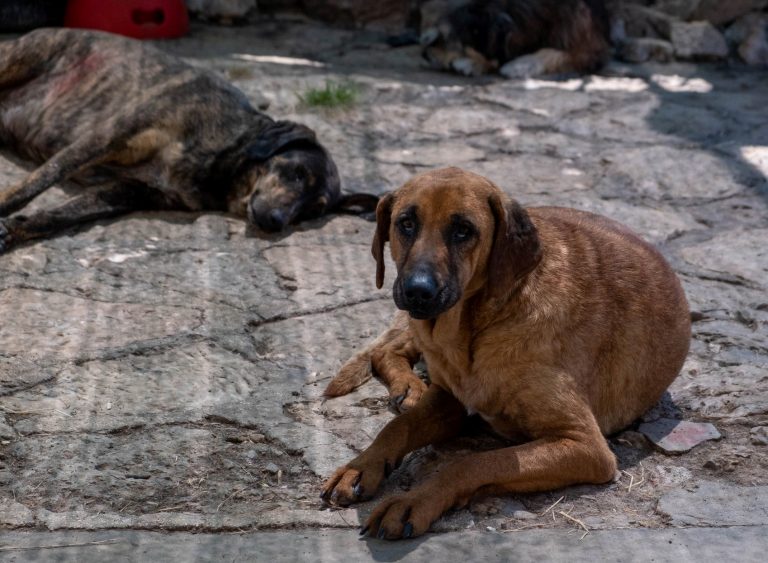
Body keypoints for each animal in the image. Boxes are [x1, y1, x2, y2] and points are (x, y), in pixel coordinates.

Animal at [0, 28, 378, 253]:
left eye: (314, 211)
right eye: (297, 173)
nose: (276, 222)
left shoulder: (127, 192)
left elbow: (59, 215)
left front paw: (15, 230)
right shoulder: (108, 135)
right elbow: (38, 181)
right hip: (19, 59)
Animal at [320, 167, 692, 540]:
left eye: (463, 230)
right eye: (406, 223)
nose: (418, 291)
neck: (477, 328)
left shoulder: (585, 445)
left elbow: (472, 462)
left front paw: (414, 500)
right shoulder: (448, 398)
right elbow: (398, 427)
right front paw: (360, 466)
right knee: (385, 351)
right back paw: (408, 386)